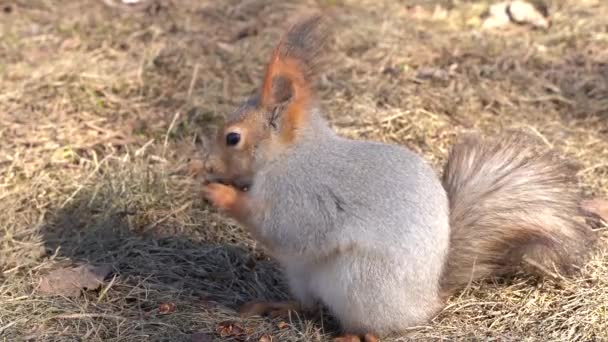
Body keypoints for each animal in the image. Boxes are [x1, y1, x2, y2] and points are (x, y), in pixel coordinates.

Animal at [201, 15, 600, 340]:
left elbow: (281, 226)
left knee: (374, 328)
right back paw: (275, 306)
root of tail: (428, 299)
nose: (207, 166)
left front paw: (221, 195)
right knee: (311, 305)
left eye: (232, 138)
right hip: (304, 276)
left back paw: (351, 336)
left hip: (362, 284)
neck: (291, 155)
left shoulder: (304, 195)